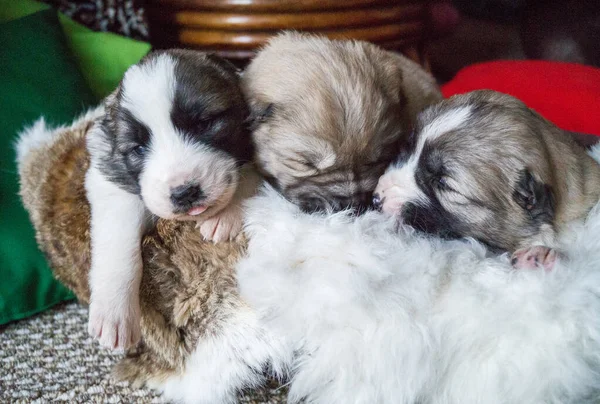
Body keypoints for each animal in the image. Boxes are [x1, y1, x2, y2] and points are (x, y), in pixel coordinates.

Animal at [84, 49, 255, 348]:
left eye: (204, 124)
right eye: (138, 149)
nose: (184, 193)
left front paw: (226, 214)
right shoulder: (109, 180)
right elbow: (118, 238)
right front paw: (114, 311)